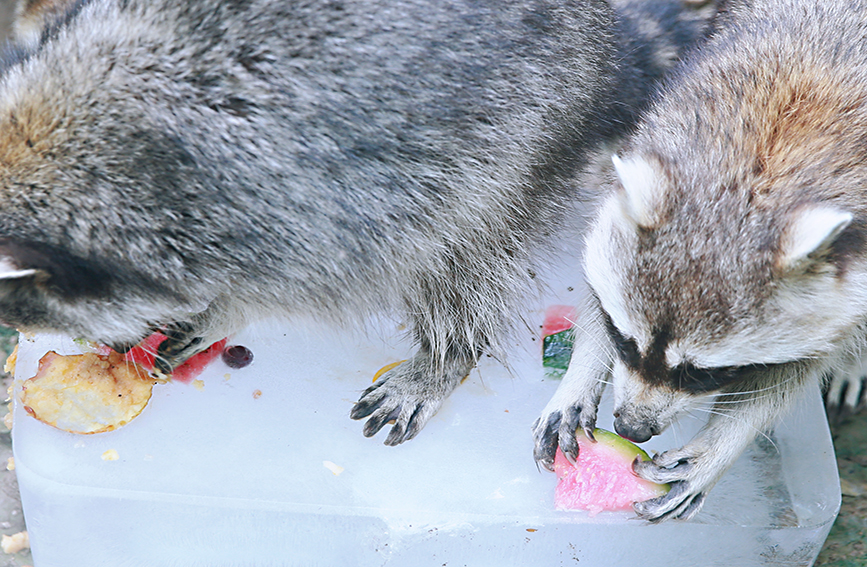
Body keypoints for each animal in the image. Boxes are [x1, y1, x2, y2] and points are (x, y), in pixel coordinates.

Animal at [0, 0, 720, 446]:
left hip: (522, 124)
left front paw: (225, 305)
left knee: (462, 247)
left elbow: (312, 277)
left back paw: (445, 353)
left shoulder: (318, 203)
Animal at [532, 0, 867, 524]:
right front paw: (584, 367)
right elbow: (597, 273)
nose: (630, 430)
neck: (765, 158)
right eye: (625, 343)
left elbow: (792, 372)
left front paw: (720, 446)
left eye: (703, 375)